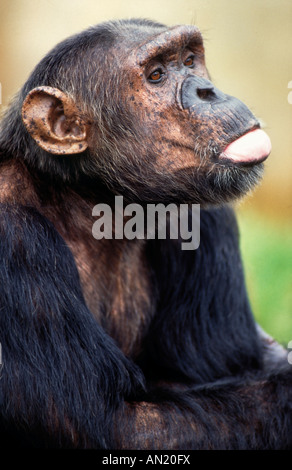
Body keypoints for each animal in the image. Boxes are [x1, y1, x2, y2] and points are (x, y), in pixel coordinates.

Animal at [0, 18, 290, 450]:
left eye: (188, 60)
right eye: (156, 76)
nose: (207, 91)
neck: (94, 201)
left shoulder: (203, 216)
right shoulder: (14, 241)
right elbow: (120, 423)